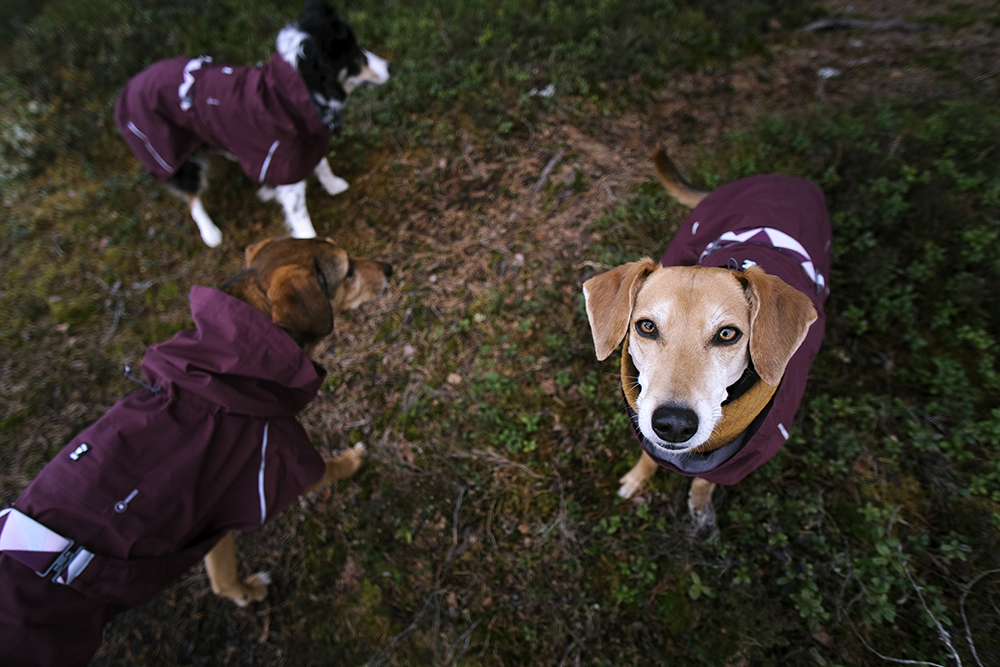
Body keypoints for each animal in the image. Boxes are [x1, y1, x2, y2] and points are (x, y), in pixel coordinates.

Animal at [113, 0, 386, 248]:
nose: (389, 66)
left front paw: (333, 185)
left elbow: (322, 164)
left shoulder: (304, 141)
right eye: (358, 56)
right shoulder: (287, 161)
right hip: (173, 158)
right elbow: (299, 213)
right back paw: (210, 233)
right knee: (192, 199)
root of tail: (127, 88)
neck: (291, 94)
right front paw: (310, 243)